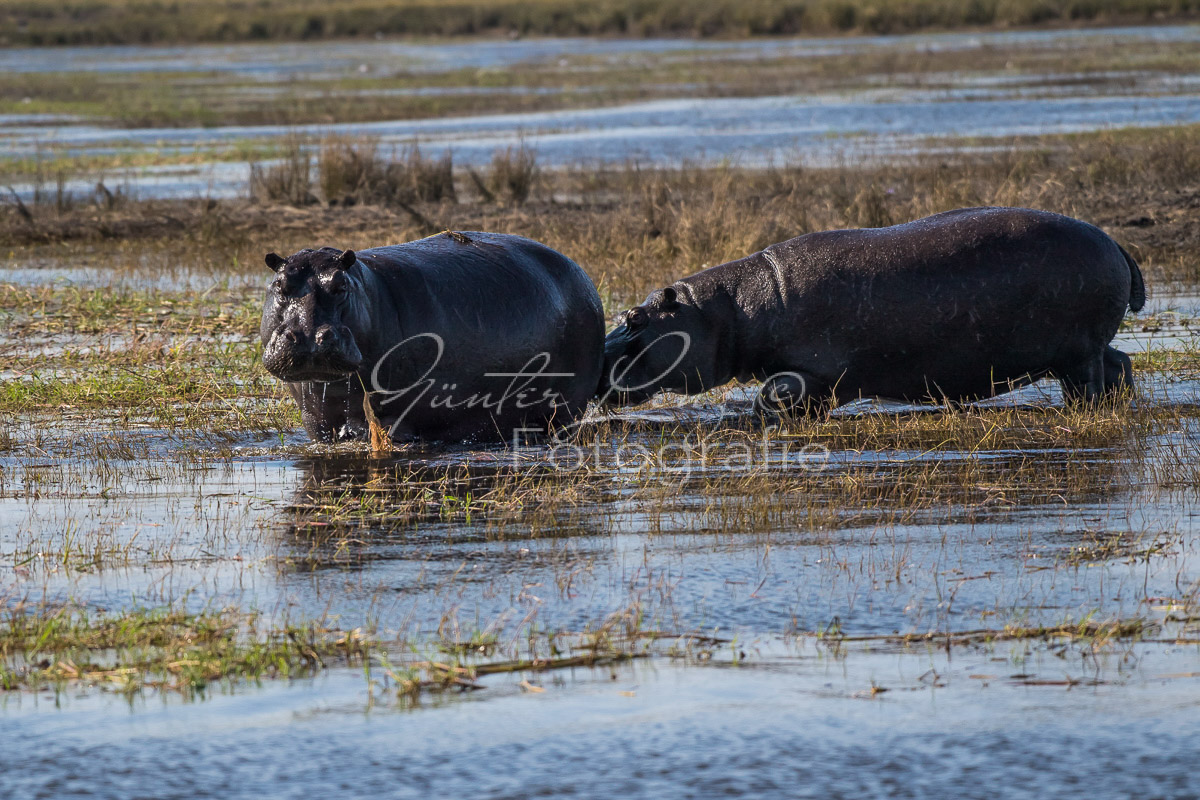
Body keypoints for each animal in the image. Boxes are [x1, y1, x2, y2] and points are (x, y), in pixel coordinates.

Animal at [259, 231, 604, 443]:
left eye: (341, 286)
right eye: (279, 285)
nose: (309, 335)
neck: (366, 287)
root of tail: (580, 272)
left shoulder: (395, 418)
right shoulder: (316, 422)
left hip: (566, 405)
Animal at [604, 206, 1147, 412]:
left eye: (634, 317)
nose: (598, 353)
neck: (728, 311)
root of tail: (1116, 242)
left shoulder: (811, 373)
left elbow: (774, 394)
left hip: (1075, 352)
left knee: (1091, 381)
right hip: (1085, 344)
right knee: (1120, 363)